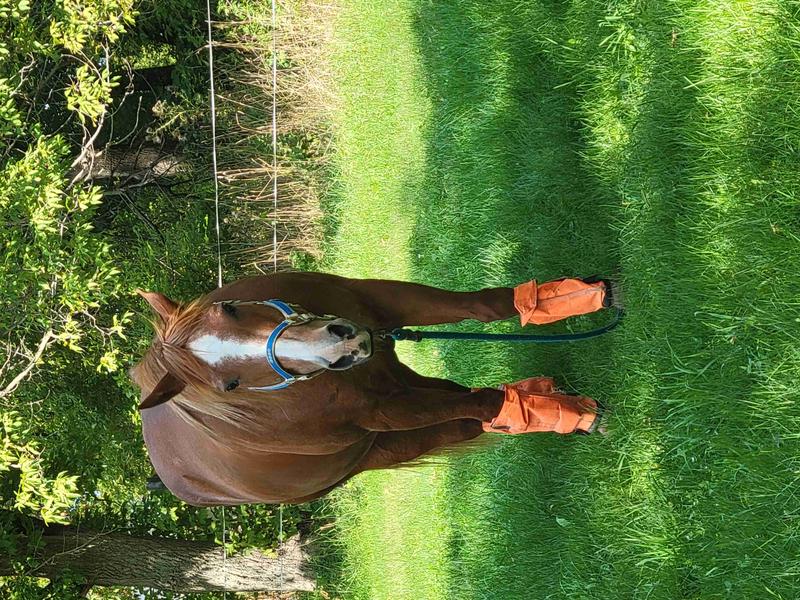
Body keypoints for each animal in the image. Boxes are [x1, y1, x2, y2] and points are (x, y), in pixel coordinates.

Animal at [130, 272, 610, 506]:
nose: (340, 343)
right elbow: (484, 401)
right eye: (229, 385)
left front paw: (571, 296)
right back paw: (554, 410)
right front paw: (575, 414)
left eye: (229, 307)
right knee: (467, 421)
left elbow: (482, 306)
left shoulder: (379, 299)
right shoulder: (389, 411)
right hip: (382, 445)